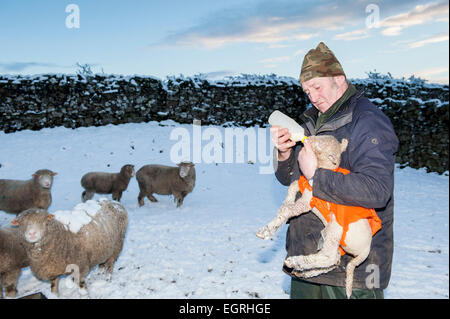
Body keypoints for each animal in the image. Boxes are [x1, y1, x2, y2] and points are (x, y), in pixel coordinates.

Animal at [256, 136, 380, 300]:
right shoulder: (303, 185)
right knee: (334, 260)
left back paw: (295, 262)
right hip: (335, 240)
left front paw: (266, 231)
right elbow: (292, 186)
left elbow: (288, 210)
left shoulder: (308, 201)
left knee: (329, 256)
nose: (307, 139)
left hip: (335, 229)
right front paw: (287, 201)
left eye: (320, 145)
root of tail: (366, 250)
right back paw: (303, 271)